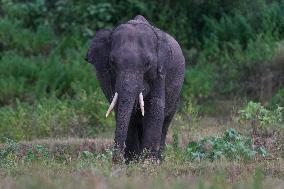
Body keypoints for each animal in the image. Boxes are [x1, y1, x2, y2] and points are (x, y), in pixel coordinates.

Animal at [85, 15, 185, 162]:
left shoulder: (160, 72)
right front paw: (131, 161)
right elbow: (126, 112)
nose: (115, 160)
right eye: (112, 62)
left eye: (148, 63)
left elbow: (154, 110)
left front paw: (147, 163)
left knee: (166, 121)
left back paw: (159, 159)